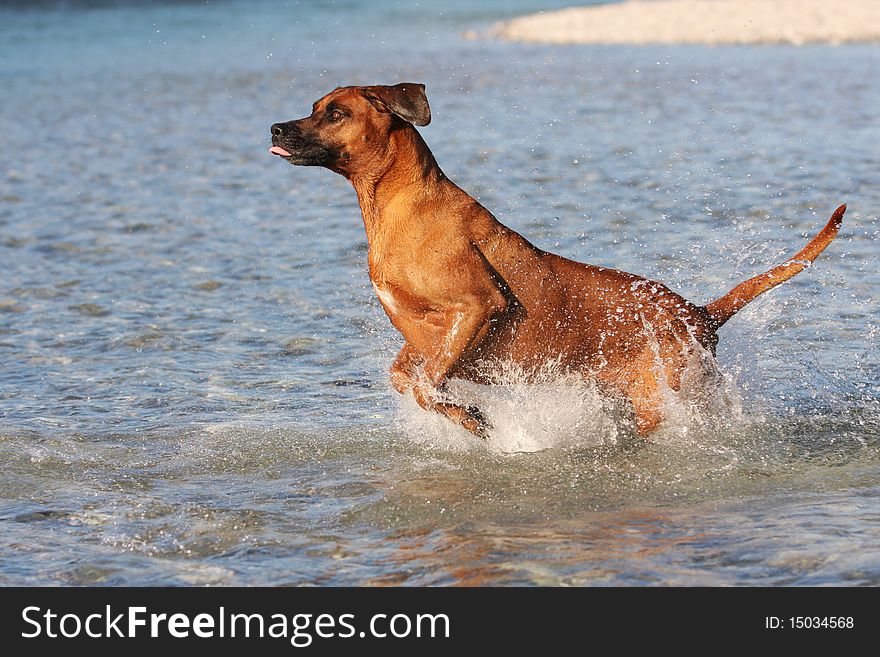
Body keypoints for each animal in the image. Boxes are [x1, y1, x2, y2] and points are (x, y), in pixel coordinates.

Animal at [270, 86, 844, 436]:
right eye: (313, 106)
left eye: (336, 113)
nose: (275, 128)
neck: (398, 203)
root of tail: (700, 313)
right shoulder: (422, 338)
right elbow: (406, 378)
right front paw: (461, 412)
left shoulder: (478, 306)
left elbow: (428, 384)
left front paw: (470, 417)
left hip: (666, 400)